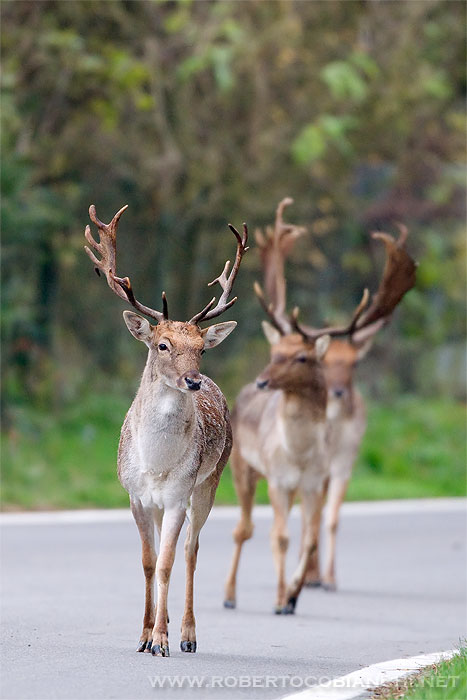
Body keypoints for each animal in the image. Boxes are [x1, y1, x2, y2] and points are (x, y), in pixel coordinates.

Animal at [84, 204, 249, 656]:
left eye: (201, 347)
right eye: (162, 344)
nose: (193, 380)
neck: (157, 464)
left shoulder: (177, 495)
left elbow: (169, 563)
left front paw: (160, 639)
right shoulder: (135, 495)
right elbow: (148, 562)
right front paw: (144, 634)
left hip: (209, 481)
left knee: (191, 549)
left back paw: (187, 634)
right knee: (164, 549)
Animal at [223, 197, 416, 612]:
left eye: (302, 357)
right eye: (275, 351)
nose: (263, 382)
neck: (298, 454)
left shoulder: (315, 480)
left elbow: (310, 536)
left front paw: (295, 593)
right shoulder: (278, 480)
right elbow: (279, 537)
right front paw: (281, 598)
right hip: (242, 466)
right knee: (244, 528)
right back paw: (229, 595)